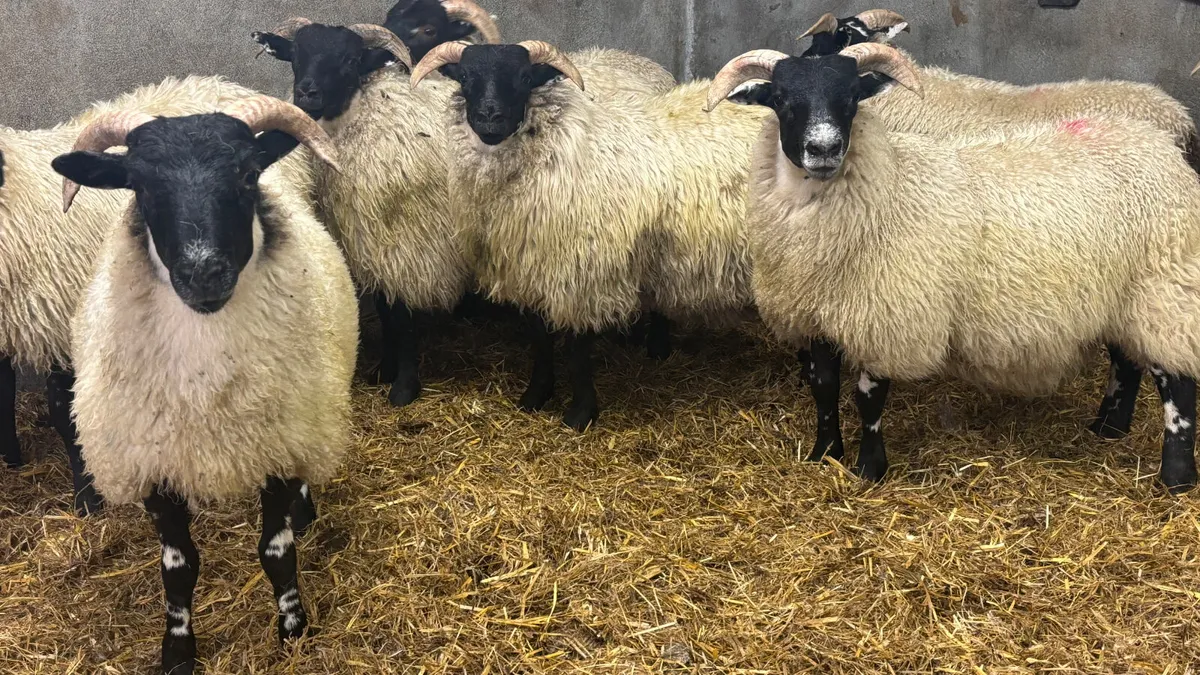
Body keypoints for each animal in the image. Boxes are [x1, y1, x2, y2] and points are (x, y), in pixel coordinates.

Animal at [51, 96, 356, 674]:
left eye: (247, 174)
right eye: (138, 186)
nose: (203, 274)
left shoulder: (278, 448)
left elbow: (276, 552)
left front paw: (293, 629)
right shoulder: (155, 465)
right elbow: (178, 567)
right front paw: (177, 650)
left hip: (312, 413)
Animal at [252, 7, 676, 406]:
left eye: (350, 60)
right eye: (296, 56)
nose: (307, 95)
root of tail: (640, 60)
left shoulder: (411, 242)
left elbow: (403, 320)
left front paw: (404, 386)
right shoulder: (372, 239)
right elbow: (387, 312)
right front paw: (383, 369)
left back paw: (657, 346)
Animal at [412, 40, 769, 430]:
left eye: (524, 78)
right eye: (464, 77)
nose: (490, 118)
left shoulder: (581, 272)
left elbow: (577, 349)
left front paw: (580, 413)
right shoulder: (528, 266)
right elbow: (539, 339)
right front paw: (535, 396)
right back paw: (657, 350)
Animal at [707, 43, 1200, 492]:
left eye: (851, 97)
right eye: (781, 98)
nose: (824, 148)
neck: (890, 186)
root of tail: (1160, 146)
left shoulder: (889, 319)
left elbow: (868, 400)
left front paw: (869, 471)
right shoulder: (811, 317)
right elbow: (823, 389)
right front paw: (823, 453)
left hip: (1165, 286)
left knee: (1176, 384)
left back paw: (1175, 478)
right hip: (1124, 294)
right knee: (1126, 360)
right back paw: (1109, 428)